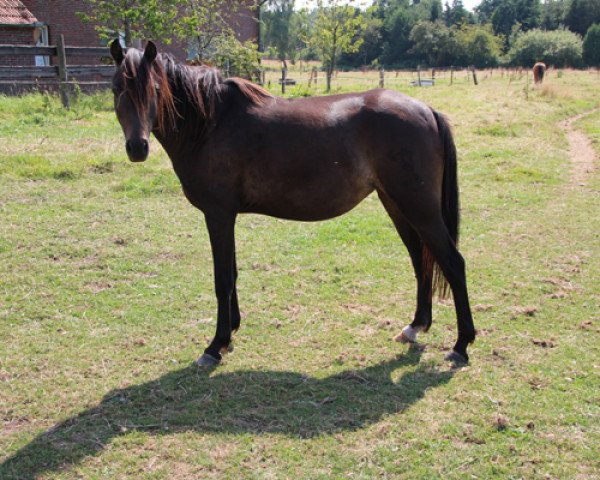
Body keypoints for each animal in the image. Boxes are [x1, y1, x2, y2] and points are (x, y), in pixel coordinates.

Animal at [106, 41, 474, 366]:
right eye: (116, 88)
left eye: (154, 88)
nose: (137, 148)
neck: (210, 124)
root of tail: (427, 110)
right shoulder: (227, 216)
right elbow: (233, 273)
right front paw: (232, 332)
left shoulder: (218, 214)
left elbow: (222, 278)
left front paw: (215, 345)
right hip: (398, 205)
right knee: (421, 260)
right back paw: (415, 327)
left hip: (419, 208)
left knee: (452, 263)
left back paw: (461, 345)